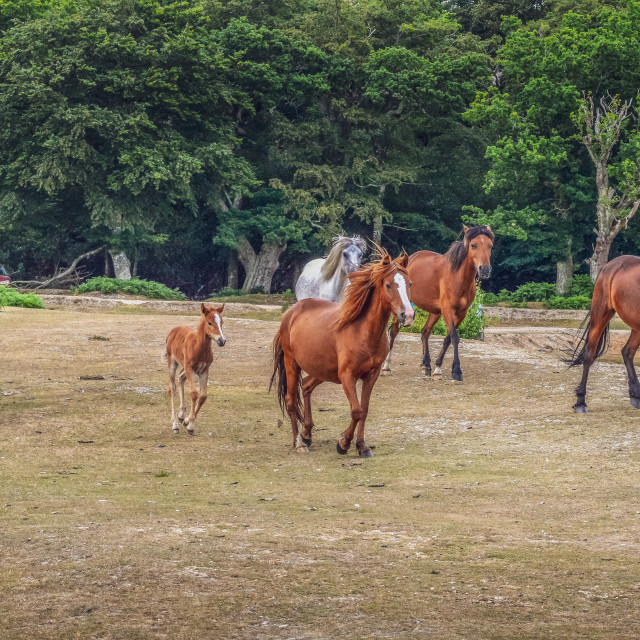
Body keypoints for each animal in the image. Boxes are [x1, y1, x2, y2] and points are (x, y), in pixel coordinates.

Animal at [166, 304, 226, 436]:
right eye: (209, 323)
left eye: (222, 322)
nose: (222, 341)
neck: (198, 346)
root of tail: (173, 330)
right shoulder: (190, 368)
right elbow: (194, 393)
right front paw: (190, 425)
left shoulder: (204, 370)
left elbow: (203, 396)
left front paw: (188, 421)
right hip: (172, 362)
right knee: (172, 388)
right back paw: (175, 424)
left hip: (186, 367)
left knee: (180, 376)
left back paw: (181, 415)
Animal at [270, 249, 416, 456]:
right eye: (388, 285)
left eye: (409, 284)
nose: (408, 315)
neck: (363, 332)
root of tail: (292, 312)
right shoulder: (347, 376)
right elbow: (356, 410)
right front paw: (344, 443)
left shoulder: (372, 375)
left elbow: (364, 410)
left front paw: (361, 446)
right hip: (292, 364)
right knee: (291, 401)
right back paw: (298, 442)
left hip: (323, 370)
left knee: (306, 386)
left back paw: (307, 435)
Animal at [380, 226, 496, 380]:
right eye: (473, 245)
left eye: (490, 245)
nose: (485, 269)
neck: (457, 277)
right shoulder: (448, 310)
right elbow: (454, 337)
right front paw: (456, 371)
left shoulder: (461, 313)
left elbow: (448, 339)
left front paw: (438, 368)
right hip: (401, 308)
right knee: (393, 331)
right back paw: (386, 367)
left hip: (434, 312)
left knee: (425, 332)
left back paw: (426, 365)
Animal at [564, 256, 640, 412]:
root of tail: (611, 264)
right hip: (601, 314)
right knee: (589, 354)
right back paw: (580, 401)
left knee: (627, 352)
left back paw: (636, 395)